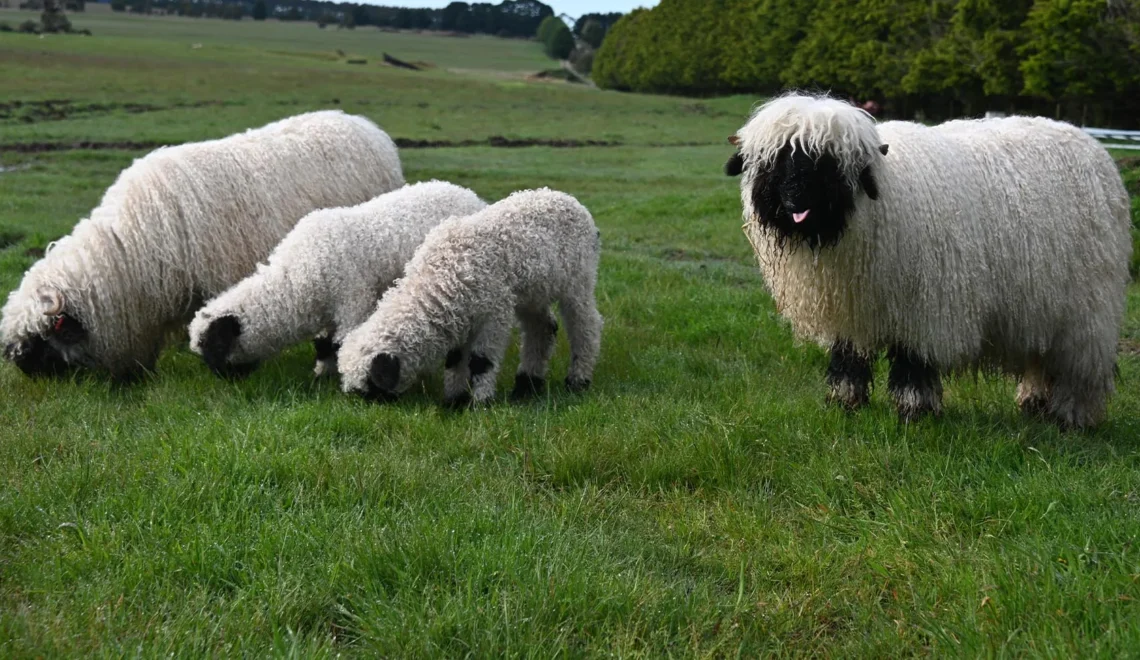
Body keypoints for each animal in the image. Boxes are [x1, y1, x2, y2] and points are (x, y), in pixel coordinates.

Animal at [188, 181, 490, 380]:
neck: (295, 280)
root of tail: (471, 195)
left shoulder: (352, 300)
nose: (225, 381)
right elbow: (323, 344)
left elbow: (341, 343)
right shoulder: (325, 308)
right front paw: (320, 374)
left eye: (216, 345)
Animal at [335, 185, 601, 410]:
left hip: (579, 281)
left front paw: (480, 403)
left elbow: (481, 360)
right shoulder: (458, 314)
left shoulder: (495, 311)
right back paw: (527, 385)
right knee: (542, 329)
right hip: (533, 292)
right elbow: (454, 359)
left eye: (370, 385)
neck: (439, 277)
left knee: (586, 326)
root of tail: (571, 201)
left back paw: (578, 379)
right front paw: (454, 400)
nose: (377, 407)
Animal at [725, 94, 1135, 433]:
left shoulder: (924, 306)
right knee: (1041, 357)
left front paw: (914, 410)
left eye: (827, 163)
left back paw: (1072, 416)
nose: (794, 200)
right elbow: (848, 354)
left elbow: (914, 361)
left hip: (1087, 303)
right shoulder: (852, 304)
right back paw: (1033, 402)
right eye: (774, 161)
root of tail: (1090, 144)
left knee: (1081, 364)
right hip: (1042, 302)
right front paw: (845, 402)